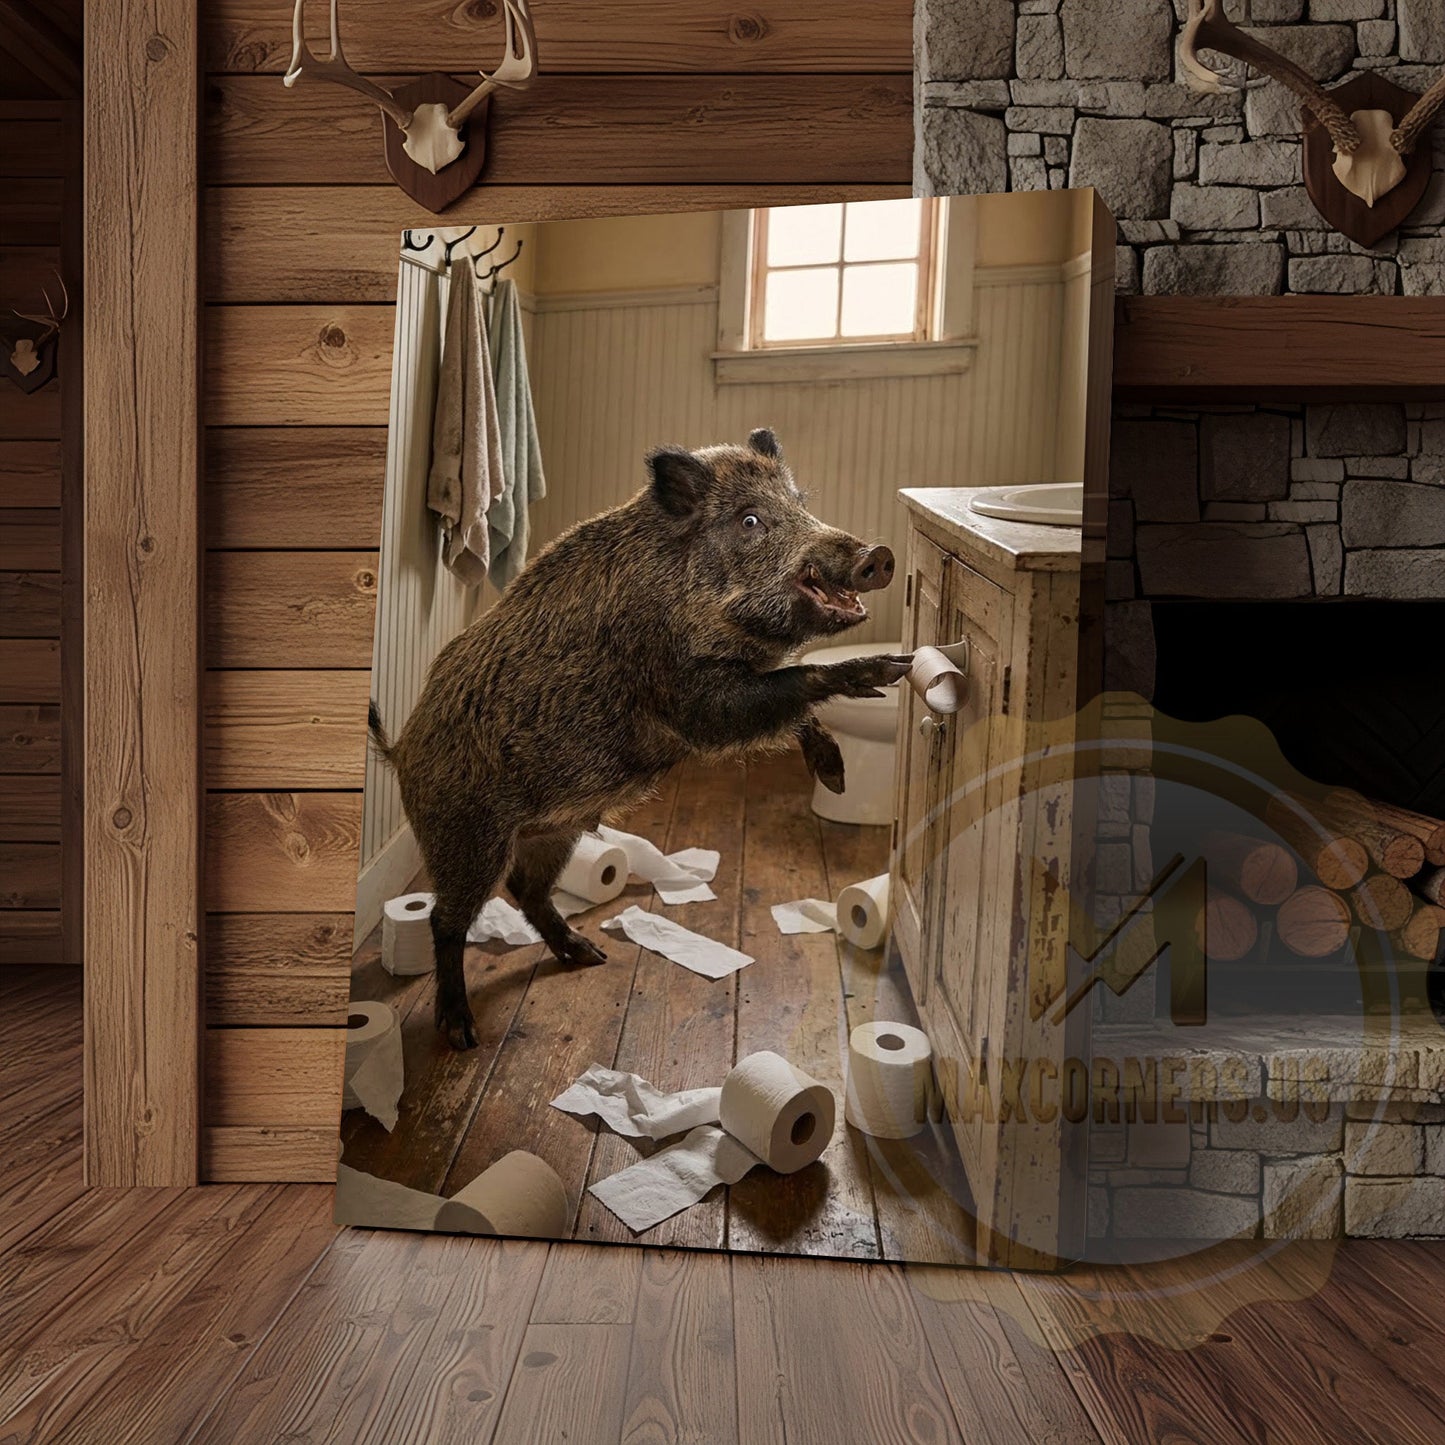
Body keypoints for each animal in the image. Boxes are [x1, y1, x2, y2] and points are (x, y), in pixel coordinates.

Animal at [369, 428, 909, 1049]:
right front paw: (887, 671)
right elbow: (795, 682)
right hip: (464, 836)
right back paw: (461, 1032)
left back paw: (587, 955)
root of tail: (402, 751)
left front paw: (836, 775)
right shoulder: (690, 703)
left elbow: (792, 703)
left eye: (800, 501)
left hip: (554, 829)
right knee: (445, 918)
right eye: (750, 520)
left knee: (527, 888)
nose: (878, 555)